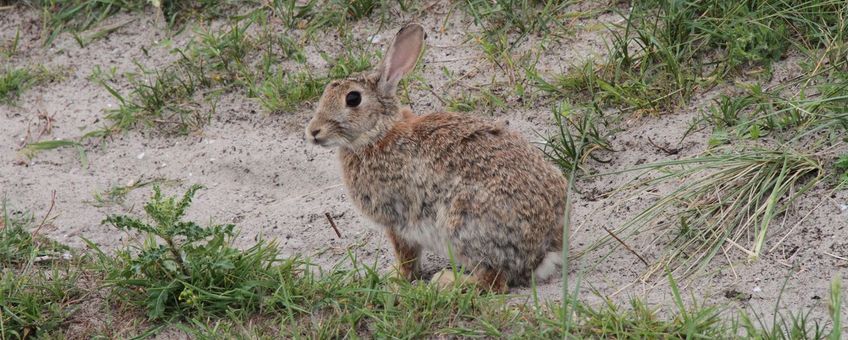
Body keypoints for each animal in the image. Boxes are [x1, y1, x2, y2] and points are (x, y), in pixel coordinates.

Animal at [304, 23, 568, 292]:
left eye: (353, 98)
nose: (313, 131)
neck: (378, 133)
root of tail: (542, 251)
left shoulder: (397, 221)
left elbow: (406, 255)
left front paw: (396, 278)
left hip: (462, 227)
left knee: (493, 282)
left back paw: (446, 281)